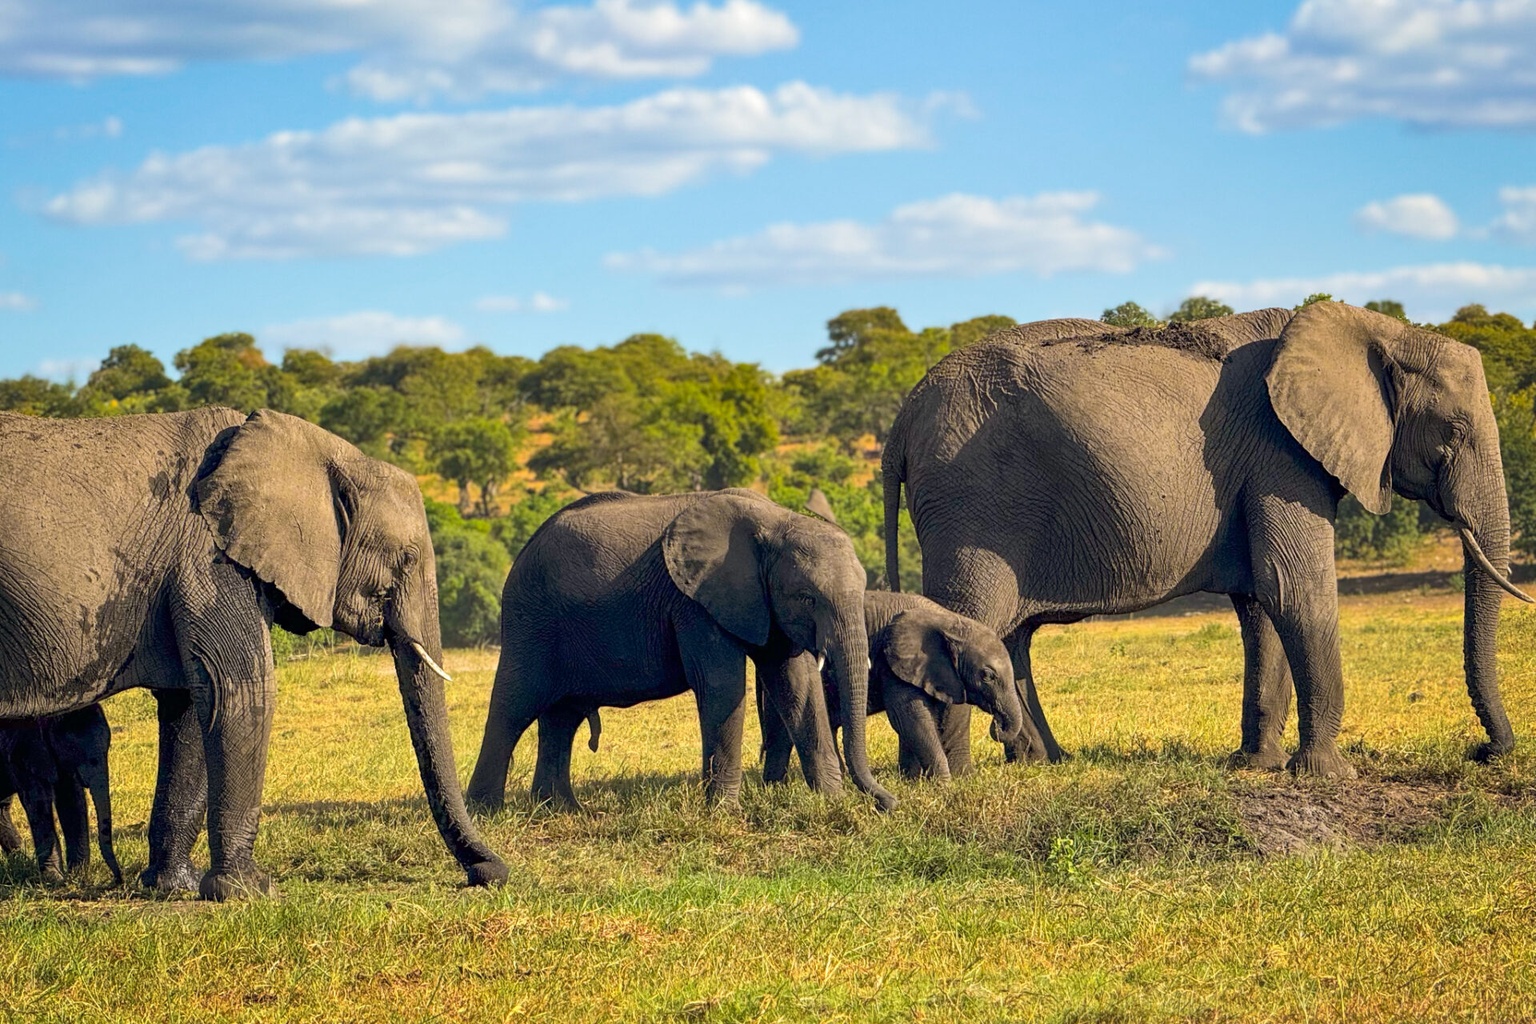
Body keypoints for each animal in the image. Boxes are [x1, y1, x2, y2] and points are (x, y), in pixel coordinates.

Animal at [0, 704, 122, 884]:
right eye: (73, 749)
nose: (118, 879)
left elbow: (70, 799)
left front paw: (77, 875)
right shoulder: (21, 748)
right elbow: (37, 799)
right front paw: (54, 880)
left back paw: (21, 862)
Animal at [465, 488, 896, 814]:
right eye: (807, 597)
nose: (888, 803)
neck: (774, 522)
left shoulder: (764, 603)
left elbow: (798, 685)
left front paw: (831, 801)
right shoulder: (694, 601)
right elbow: (723, 685)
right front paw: (725, 813)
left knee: (562, 717)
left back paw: (562, 810)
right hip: (530, 620)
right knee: (513, 706)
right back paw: (485, 811)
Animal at [758, 591, 1026, 782]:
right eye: (987, 676)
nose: (997, 726)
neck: (948, 621)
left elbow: (923, 717)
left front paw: (912, 781)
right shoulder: (892, 663)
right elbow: (910, 717)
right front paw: (943, 784)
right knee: (780, 731)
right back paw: (776, 788)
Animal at [882, 302, 1530, 778]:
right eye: (1455, 431)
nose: (1483, 753)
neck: (1383, 331)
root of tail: (901, 422)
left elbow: (1261, 602)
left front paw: (1257, 765)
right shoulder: (1281, 456)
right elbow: (1295, 588)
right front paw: (1326, 775)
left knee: (1010, 634)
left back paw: (1037, 765)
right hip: (975, 503)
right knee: (972, 621)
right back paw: (951, 779)